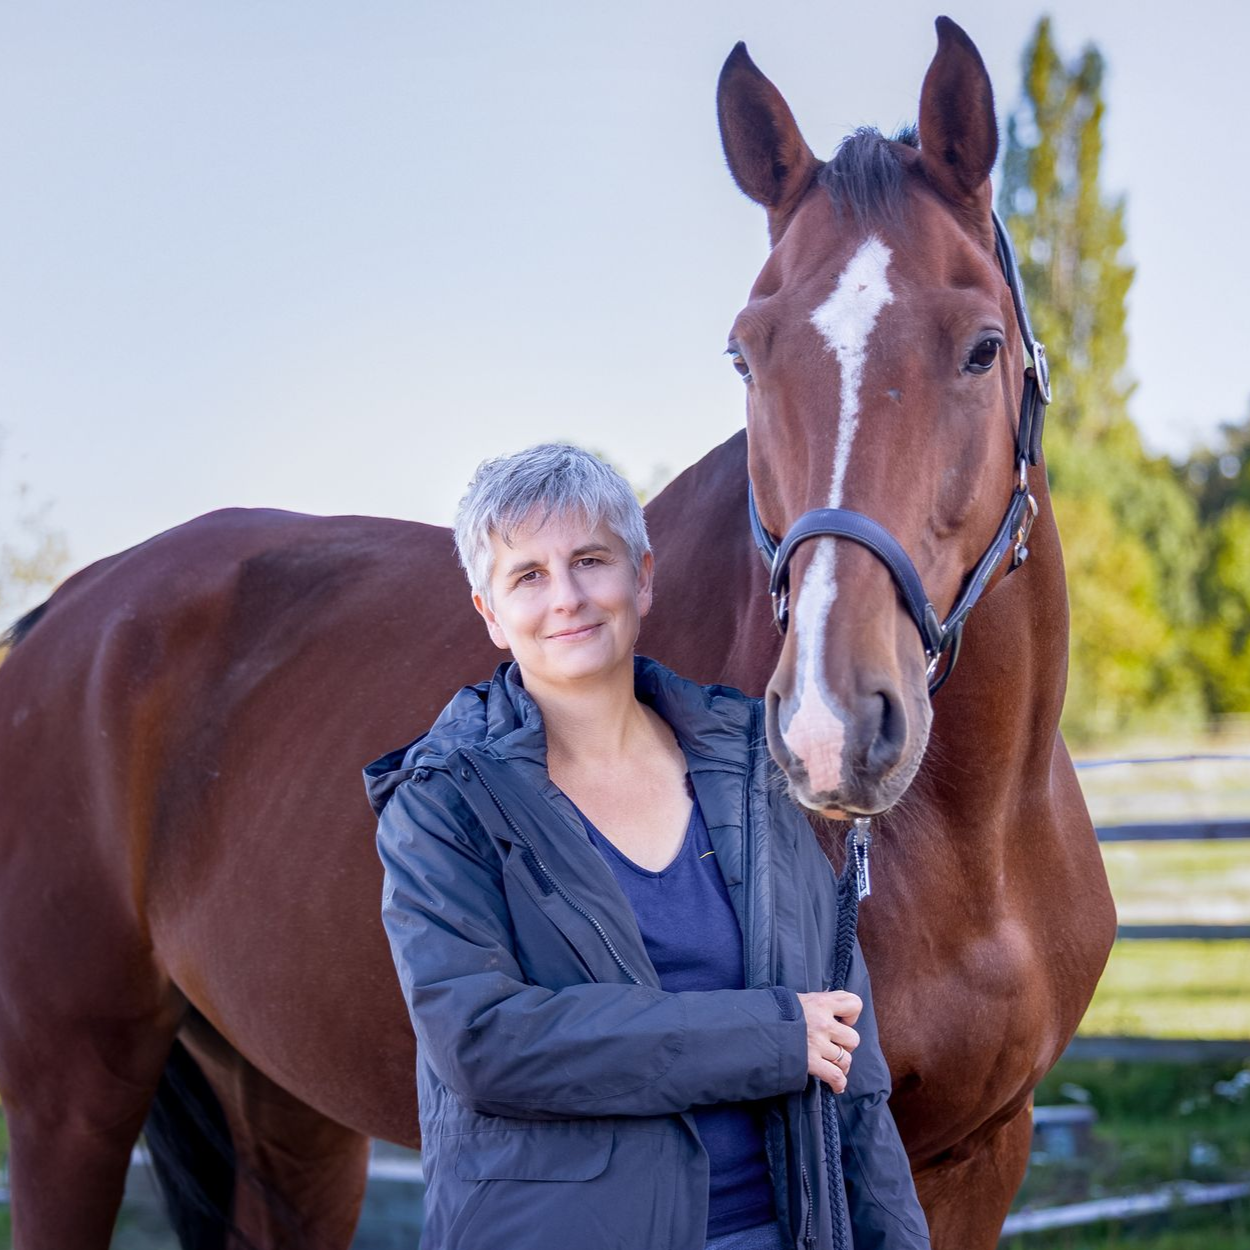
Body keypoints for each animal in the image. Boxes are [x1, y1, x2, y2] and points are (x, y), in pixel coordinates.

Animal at [0, 17, 1115, 1249]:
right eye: (746, 354)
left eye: (980, 346)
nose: (830, 726)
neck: (973, 838)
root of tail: (67, 612)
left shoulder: (979, 1150)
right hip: (72, 1086)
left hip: (281, 1106)